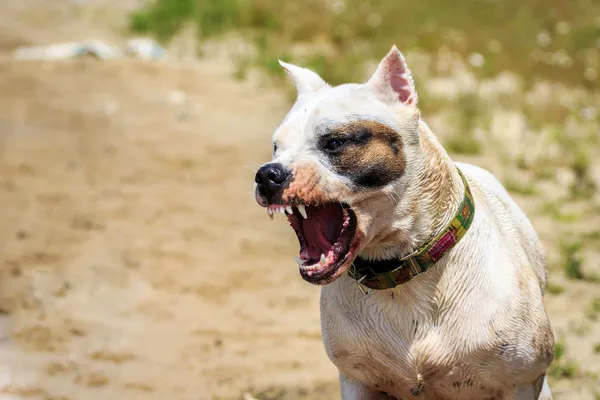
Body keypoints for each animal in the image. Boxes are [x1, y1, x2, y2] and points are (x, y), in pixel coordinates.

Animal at [253, 45, 552, 398]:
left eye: (334, 143)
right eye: (275, 147)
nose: (267, 174)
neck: (401, 271)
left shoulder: (521, 381)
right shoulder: (357, 380)